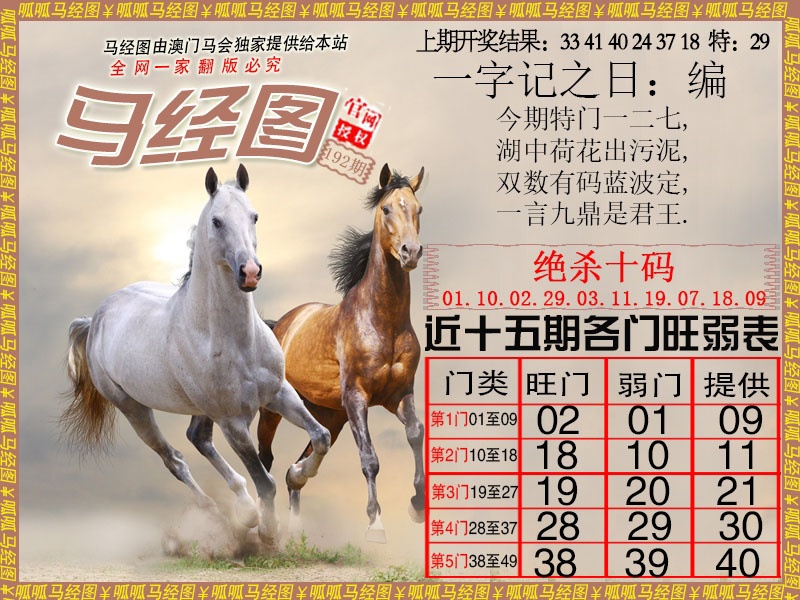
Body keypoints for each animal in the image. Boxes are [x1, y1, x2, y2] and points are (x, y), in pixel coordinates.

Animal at [63, 165, 331, 544]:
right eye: (217, 221)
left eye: (254, 216)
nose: (250, 272)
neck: (235, 340)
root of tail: (96, 318)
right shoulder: (233, 422)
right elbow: (264, 480)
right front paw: (268, 531)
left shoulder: (279, 393)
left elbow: (320, 437)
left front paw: (298, 474)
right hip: (134, 409)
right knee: (174, 459)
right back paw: (226, 516)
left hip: (201, 409)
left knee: (198, 439)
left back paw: (243, 510)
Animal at [255, 163, 426, 543]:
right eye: (386, 209)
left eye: (418, 209)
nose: (410, 252)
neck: (382, 321)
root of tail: (279, 324)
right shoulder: (357, 397)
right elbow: (370, 458)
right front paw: (376, 525)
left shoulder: (399, 395)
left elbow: (415, 434)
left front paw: (417, 505)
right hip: (274, 409)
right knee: (265, 458)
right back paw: (265, 524)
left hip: (330, 414)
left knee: (299, 463)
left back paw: (297, 507)